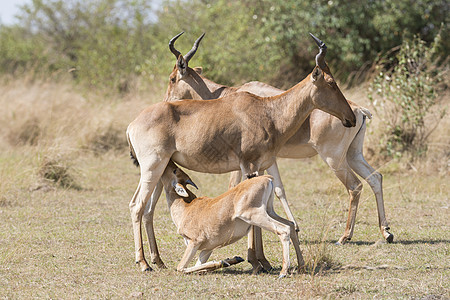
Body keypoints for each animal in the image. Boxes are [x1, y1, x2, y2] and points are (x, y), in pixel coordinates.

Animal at [160, 161, 304, 278]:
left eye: (174, 171)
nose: (167, 163)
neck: (187, 208)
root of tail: (267, 178)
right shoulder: (207, 249)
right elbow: (198, 267)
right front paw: (231, 260)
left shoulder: (194, 243)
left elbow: (180, 268)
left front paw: (224, 261)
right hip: (269, 211)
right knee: (291, 225)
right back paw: (300, 267)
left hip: (255, 216)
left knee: (284, 229)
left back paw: (283, 272)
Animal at [163, 31, 392, 246]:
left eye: (172, 78)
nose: (166, 102)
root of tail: (358, 110)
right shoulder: (267, 160)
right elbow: (280, 189)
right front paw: (294, 226)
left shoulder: (246, 160)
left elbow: (235, 187)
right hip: (353, 154)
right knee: (375, 178)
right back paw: (386, 232)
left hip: (333, 158)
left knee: (355, 186)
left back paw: (345, 236)